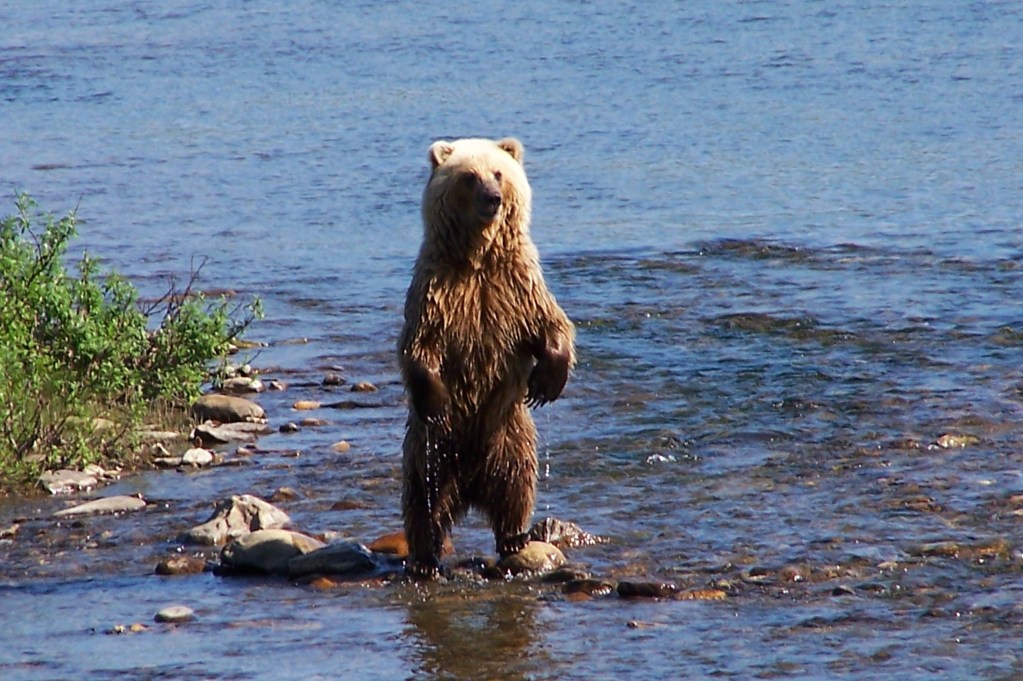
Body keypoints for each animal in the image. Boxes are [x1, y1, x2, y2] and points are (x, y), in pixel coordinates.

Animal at [398, 137, 576, 578]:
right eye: (469, 175)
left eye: (498, 172)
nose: (492, 198)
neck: (478, 258)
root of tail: (470, 487)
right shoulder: (436, 293)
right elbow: (419, 347)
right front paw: (438, 400)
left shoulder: (517, 285)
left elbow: (553, 324)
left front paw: (546, 382)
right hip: (430, 448)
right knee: (422, 497)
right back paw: (424, 556)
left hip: (510, 434)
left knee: (516, 486)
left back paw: (514, 537)